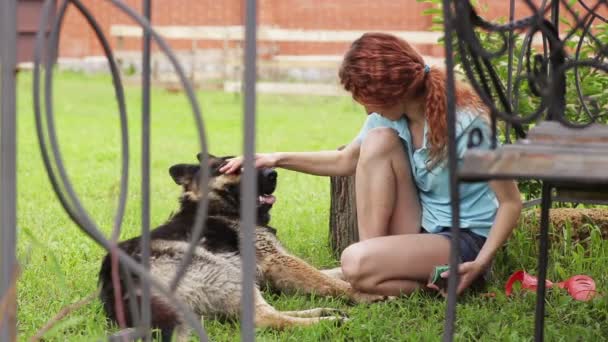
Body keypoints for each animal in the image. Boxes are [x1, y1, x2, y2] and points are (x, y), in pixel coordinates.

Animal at [98, 154, 384, 340]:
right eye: (230, 168)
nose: (273, 173)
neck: (219, 208)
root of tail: (117, 289)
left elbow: (330, 273)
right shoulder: (277, 261)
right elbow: (330, 280)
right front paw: (363, 294)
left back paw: (326, 312)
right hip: (224, 271)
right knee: (264, 318)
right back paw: (329, 322)